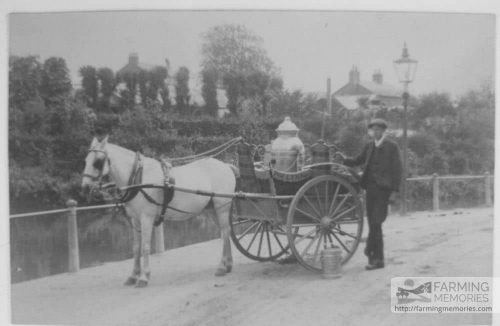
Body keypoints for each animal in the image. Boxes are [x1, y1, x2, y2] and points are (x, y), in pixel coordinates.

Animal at [81, 135, 237, 288]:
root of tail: (226, 166)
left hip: (221, 208)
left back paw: (221, 267)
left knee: (224, 233)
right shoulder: (135, 219)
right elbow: (136, 247)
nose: (85, 188)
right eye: (86, 160)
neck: (138, 177)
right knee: (226, 232)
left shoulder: (146, 217)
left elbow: (145, 247)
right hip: (213, 209)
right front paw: (133, 275)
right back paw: (228, 265)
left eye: (97, 162)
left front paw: (144, 277)